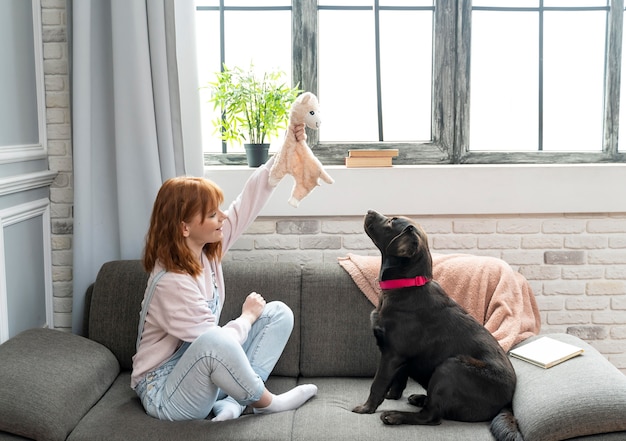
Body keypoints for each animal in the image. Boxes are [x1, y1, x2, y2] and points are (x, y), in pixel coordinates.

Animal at [352, 210, 520, 440]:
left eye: (392, 221)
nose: (369, 211)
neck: (406, 286)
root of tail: (507, 403)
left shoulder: (392, 354)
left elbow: (377, 384)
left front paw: (366, 408)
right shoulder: (402, 358)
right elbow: (398, 380)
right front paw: (392, 396)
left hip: (451, 367)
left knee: (431, 416)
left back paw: (394, 416)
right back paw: (418, 399)